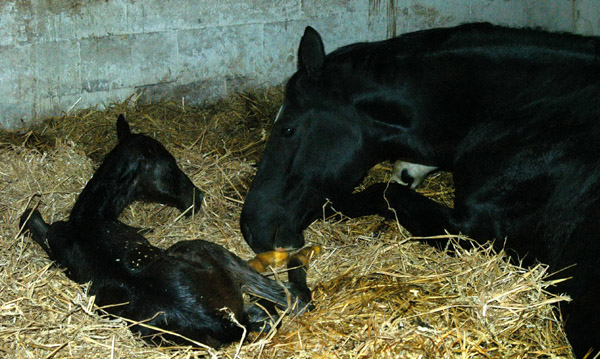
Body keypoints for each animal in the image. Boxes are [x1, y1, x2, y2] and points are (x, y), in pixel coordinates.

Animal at [19, 116, 310, 350]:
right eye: (171, 165)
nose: (197, 197)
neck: (87, 219)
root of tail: (222, 323)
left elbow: (30, 218)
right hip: (201, 248)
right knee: (294, 298)